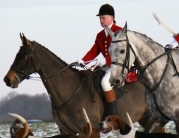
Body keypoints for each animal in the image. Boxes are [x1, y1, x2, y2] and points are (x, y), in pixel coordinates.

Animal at [3, 33, 161, 137]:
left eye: (23, 55)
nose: (7, 79)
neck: (70, 92)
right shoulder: (66, 131)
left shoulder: (92, 130)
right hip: (147, 119)